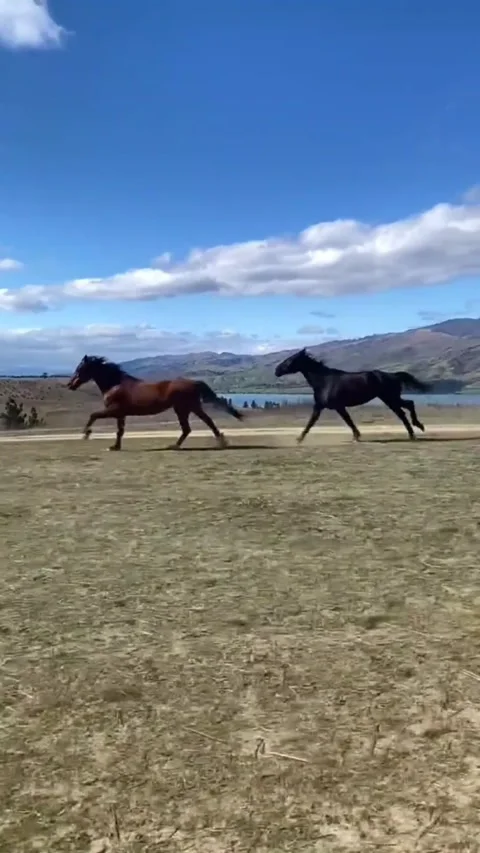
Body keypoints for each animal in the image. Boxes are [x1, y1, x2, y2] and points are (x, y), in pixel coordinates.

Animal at [67, 355, 244, 451]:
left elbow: (93, 415)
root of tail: (194, 382)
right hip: (188, 408)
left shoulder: (113, 410)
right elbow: (119, 431)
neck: (115, 384)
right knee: (195, 426)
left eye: (81, 368)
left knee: (199, 424)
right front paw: (115, 447)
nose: (70, 385)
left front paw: (86, 434)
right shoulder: (120, 414)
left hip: (184, 408)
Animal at [274, 348, 431, 443]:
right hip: (390, 398)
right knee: (407, 406)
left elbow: (347, 421)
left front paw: (357, 436)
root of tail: (393, 375)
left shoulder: (337, 406)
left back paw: (416, 431)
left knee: (405, 409)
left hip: (390, 398)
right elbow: (312, 421)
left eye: (290, 360)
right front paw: (299, 438)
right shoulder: (319, 406)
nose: (276, 370)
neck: (324, 381)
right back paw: (415, 431)